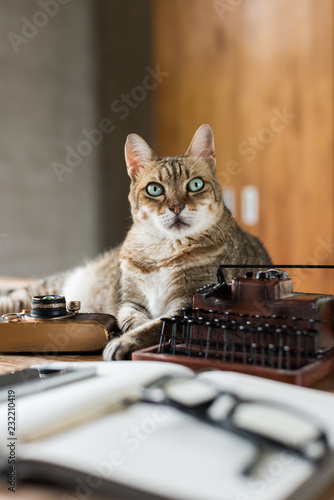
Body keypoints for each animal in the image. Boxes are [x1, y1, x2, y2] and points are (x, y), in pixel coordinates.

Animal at [0, 124, 272, 360]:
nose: (176, 207)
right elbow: (133, 320)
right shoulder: (131, 301)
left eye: (195, 184)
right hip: (43, 288)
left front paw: (123, 342)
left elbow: (154, 326)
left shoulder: (188, 305)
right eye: (155, 189)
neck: (163, 251)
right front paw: (125, 334)